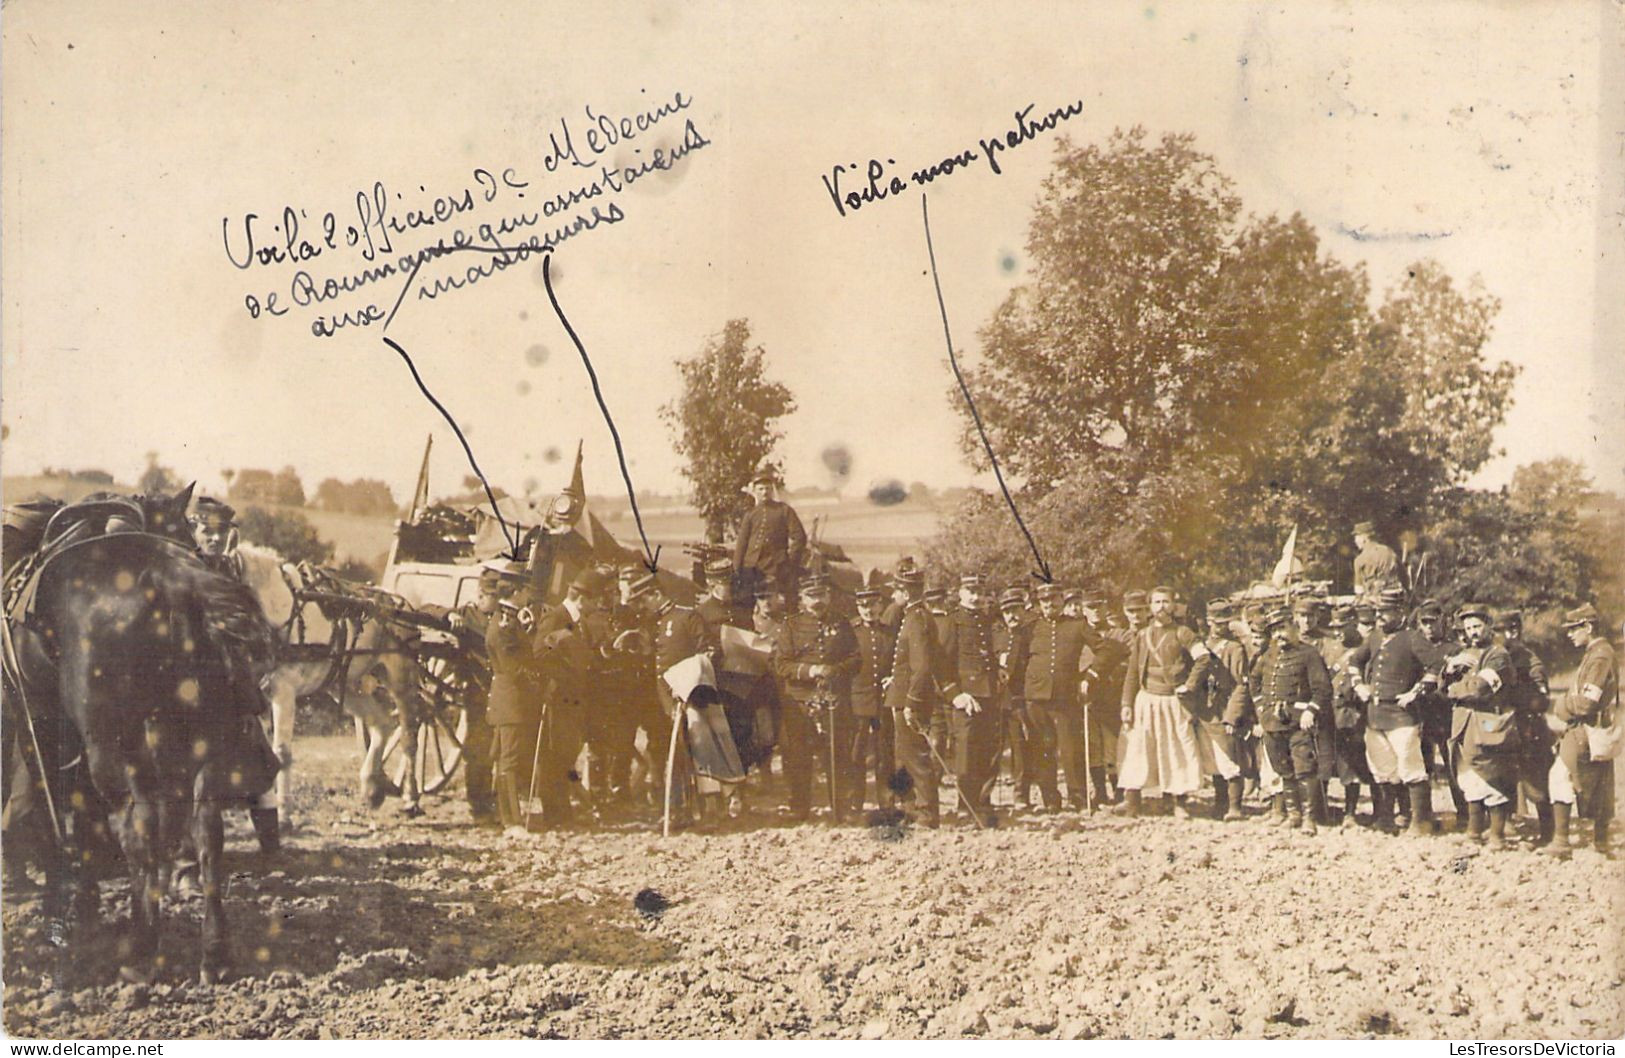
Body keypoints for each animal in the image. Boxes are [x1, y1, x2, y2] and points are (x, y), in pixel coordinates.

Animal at [11, 487, 277, 988]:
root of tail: (175, 581)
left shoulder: (43, 723)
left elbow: (66, 811)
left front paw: (75, 905)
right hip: (201, 746)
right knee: (207, 832)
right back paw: (214, 953)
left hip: (114, 751)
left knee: (140, 830)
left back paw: (141, 947)